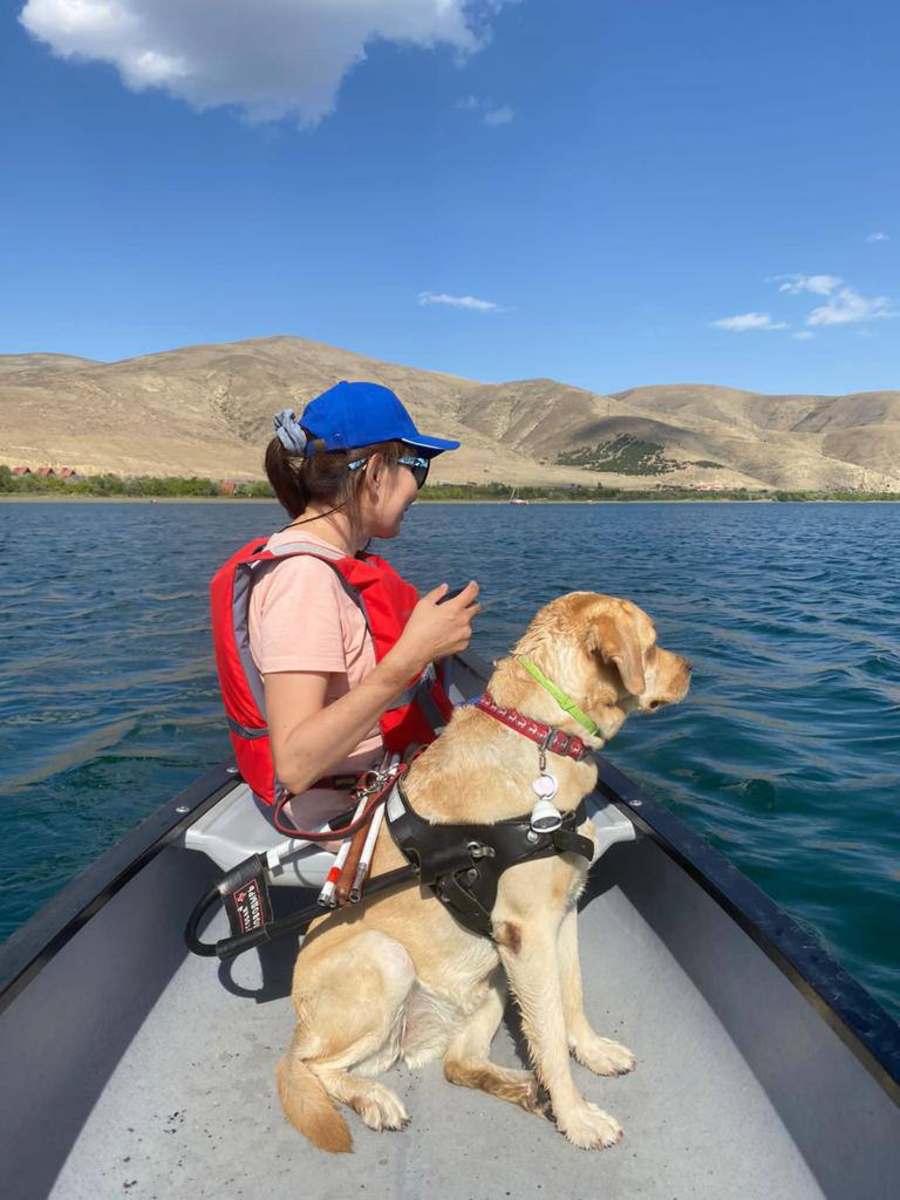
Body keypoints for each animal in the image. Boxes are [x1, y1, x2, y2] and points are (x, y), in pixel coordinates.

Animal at [278, 590, 696, 1152]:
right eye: (651, 646)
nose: (691, 668)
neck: (544, 732)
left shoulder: (563, 916)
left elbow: (572, 997)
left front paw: (591, 1053)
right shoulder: (526, 933)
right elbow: (550, 1032)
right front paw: (577, 1117)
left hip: (491, 978)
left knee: (458, 1065)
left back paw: (525, 1089)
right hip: (387, 959)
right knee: (311, 1066)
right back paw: (375, 1099)